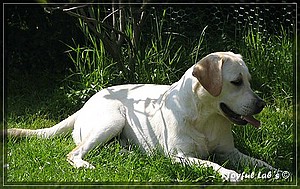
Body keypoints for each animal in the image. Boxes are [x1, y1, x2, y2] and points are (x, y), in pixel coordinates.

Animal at [7, 51, 274, 182]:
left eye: (249, 81)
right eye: (236, 82)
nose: (261, 104)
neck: (206, 117)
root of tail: (85, 104)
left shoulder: (230, 152)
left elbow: (260, 163)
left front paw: (275, 173)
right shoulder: (180, 157)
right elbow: (213, 164)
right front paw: (233, 175)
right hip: (112, 120)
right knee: (74, 153)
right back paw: (86, 165)